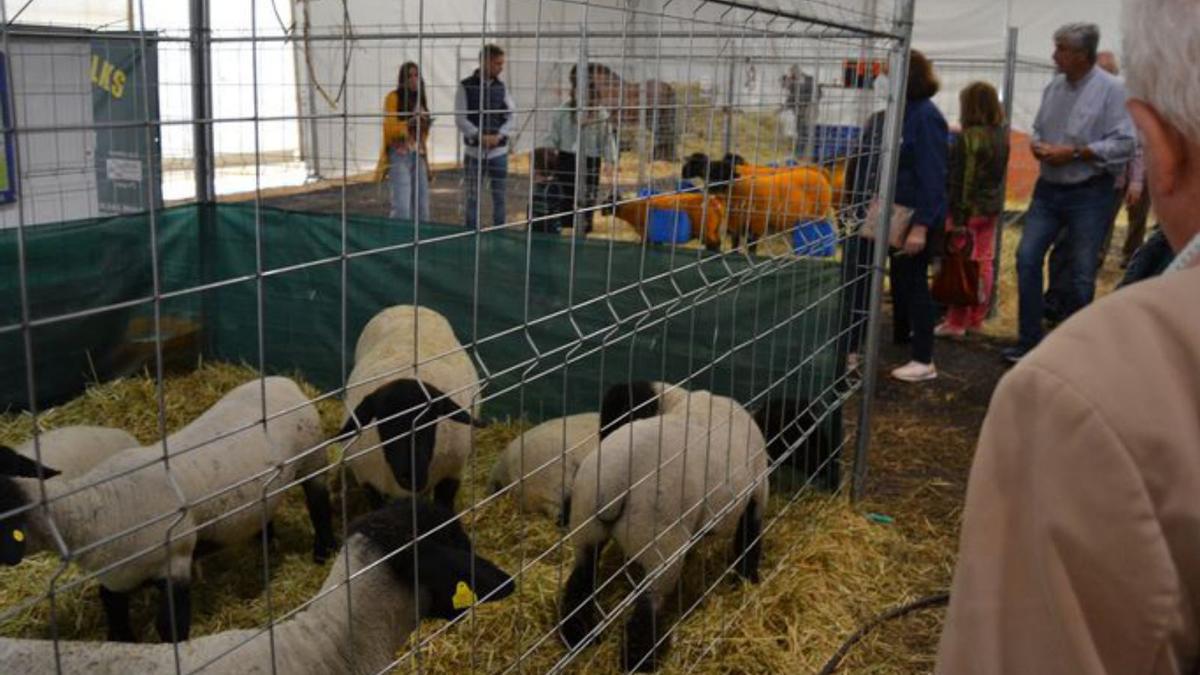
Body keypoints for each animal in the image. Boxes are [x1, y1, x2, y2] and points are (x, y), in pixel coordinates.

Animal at [336, 302, 480, 506]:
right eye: (384, 419)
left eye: (431, 418)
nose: (412, 477)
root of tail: (410, 305)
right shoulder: (369, 483)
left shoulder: (452, 475)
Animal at [554, 381, 768, 667]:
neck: (678, 400)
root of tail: (614, 478)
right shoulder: (758, 490)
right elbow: (750, 538)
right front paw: (748, 579)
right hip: (661, 539)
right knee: (647, 608)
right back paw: (642, 660)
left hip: (586, 524)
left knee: (581, 582)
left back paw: (577, 636)